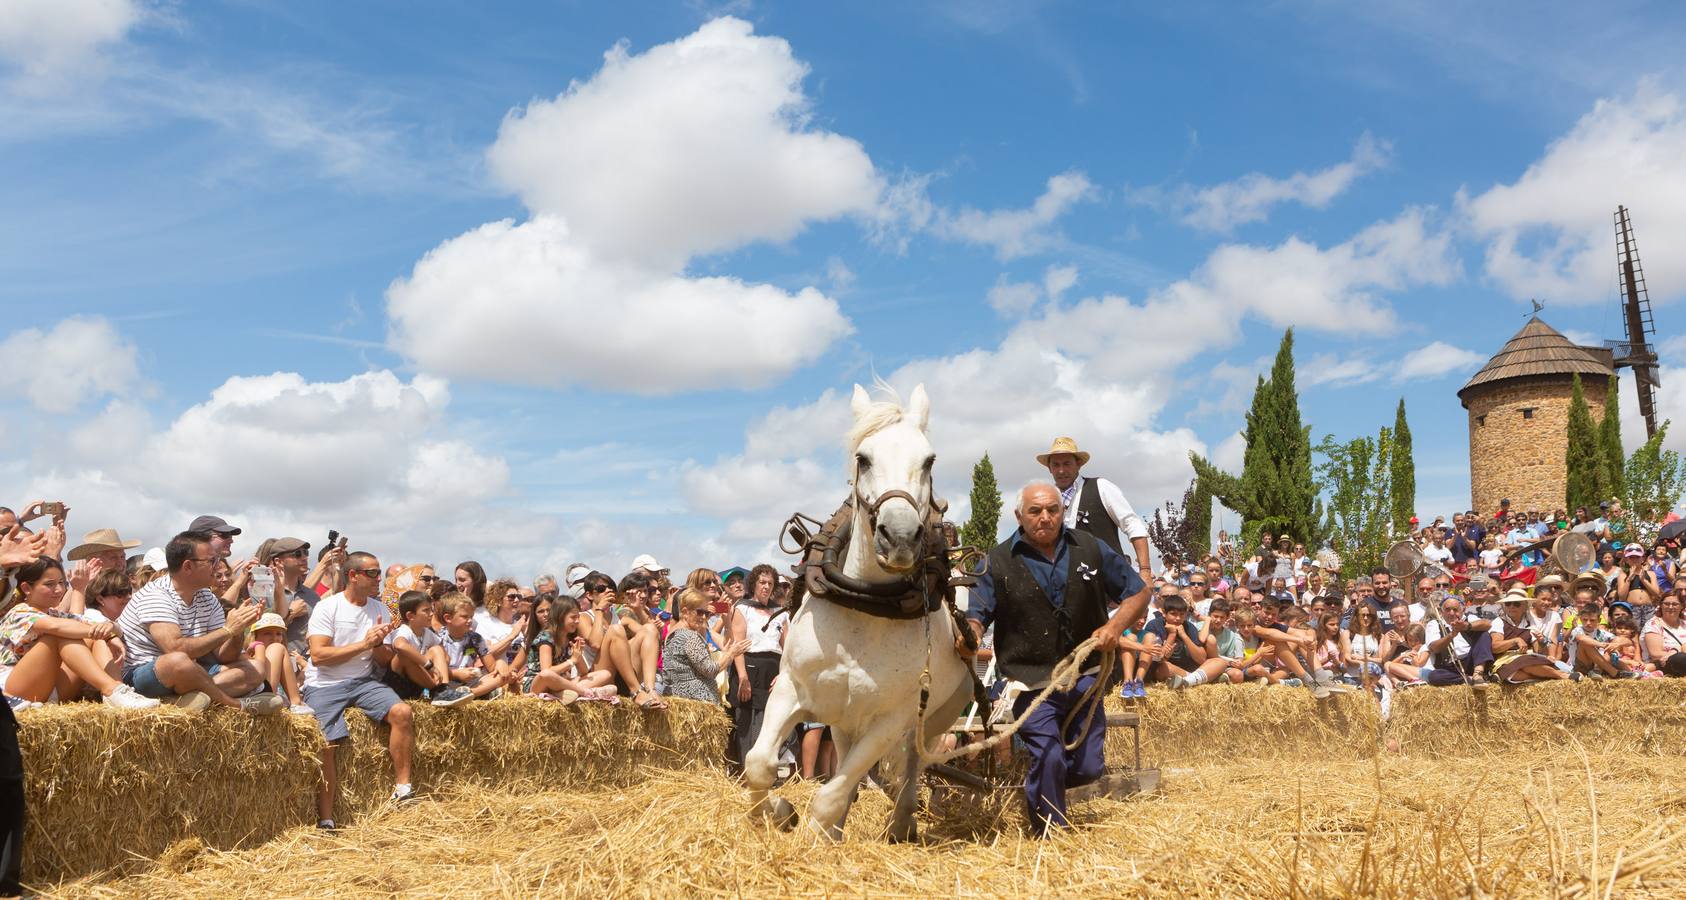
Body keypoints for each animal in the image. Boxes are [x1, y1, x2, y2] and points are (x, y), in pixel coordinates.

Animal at [741, 384, 971, 842]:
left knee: (913, 765)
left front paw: (816, 833)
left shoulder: (890, 719)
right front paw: (779, 812)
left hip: (933, 719)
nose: (899, 537)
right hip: (844, 720)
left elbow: (833, 791)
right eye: (863, 458)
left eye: (929, 460)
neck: (865, 608)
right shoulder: (790, 690)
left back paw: (901, 821)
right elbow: (758, 764)